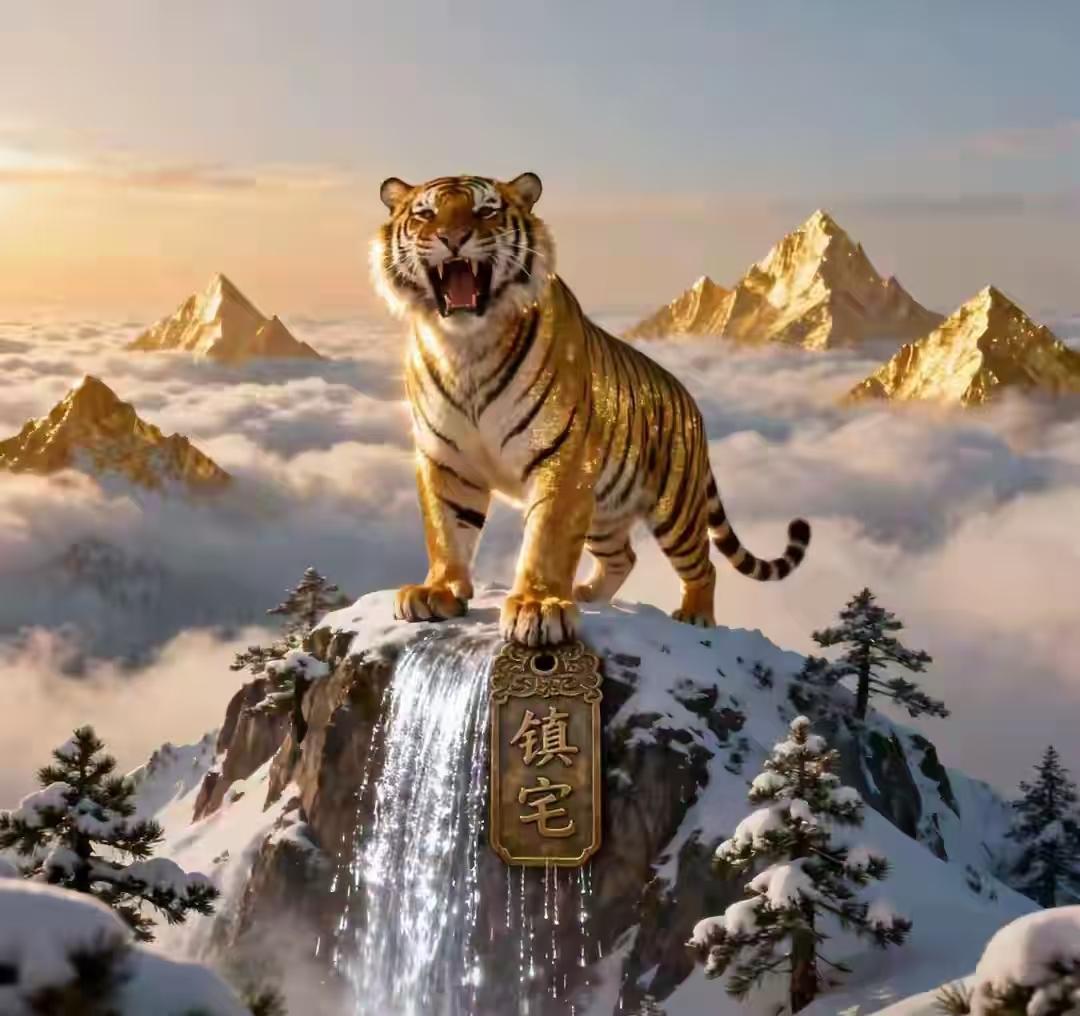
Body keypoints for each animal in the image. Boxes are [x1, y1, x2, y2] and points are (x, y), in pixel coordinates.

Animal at [372, 171, 811, 647]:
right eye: (425, 214)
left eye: (486, 211)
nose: (453, 238)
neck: (466, 347)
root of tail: (691, 402)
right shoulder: (445, 458)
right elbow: (446, 529)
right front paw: (437, 592)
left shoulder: (562, 458)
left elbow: (546, 537)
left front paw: (538, 607)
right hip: (605, 509)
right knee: (624, 556)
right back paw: (587, 594)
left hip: (675, 508)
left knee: (703, 566)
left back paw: (694, 615)